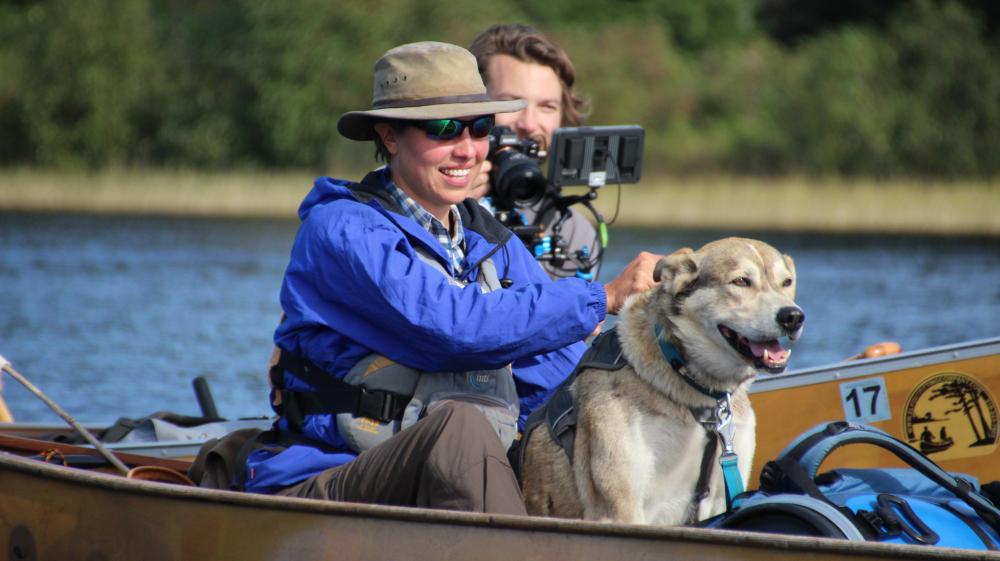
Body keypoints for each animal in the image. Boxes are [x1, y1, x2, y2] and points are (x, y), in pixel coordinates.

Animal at [520, 236, 800, 524]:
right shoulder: (620, 508)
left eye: (787, 282)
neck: (699, 397)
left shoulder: (720, 500)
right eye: (741, 281)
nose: (793, 316)